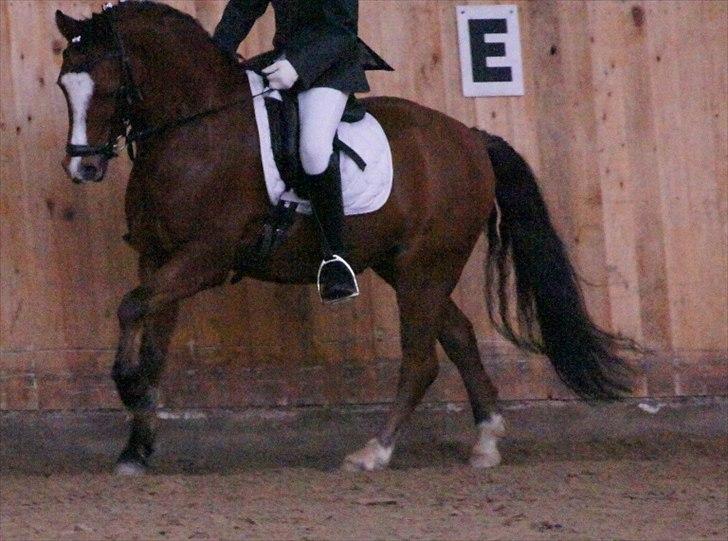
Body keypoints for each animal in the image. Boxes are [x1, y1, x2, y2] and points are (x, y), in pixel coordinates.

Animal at [54, 1, 635, 475]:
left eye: (109, 87)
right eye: (64, 85)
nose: (84, 167)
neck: (194, 130)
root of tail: (471, 138)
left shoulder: (204, 258)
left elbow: (130, 309)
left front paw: (125, 384)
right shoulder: (159, 259)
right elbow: (152, 344)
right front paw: (136, 450)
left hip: (427, 267)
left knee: (421, 359)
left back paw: (375, 452)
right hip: (407, 267)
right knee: (459, 336)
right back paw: (486, 442)